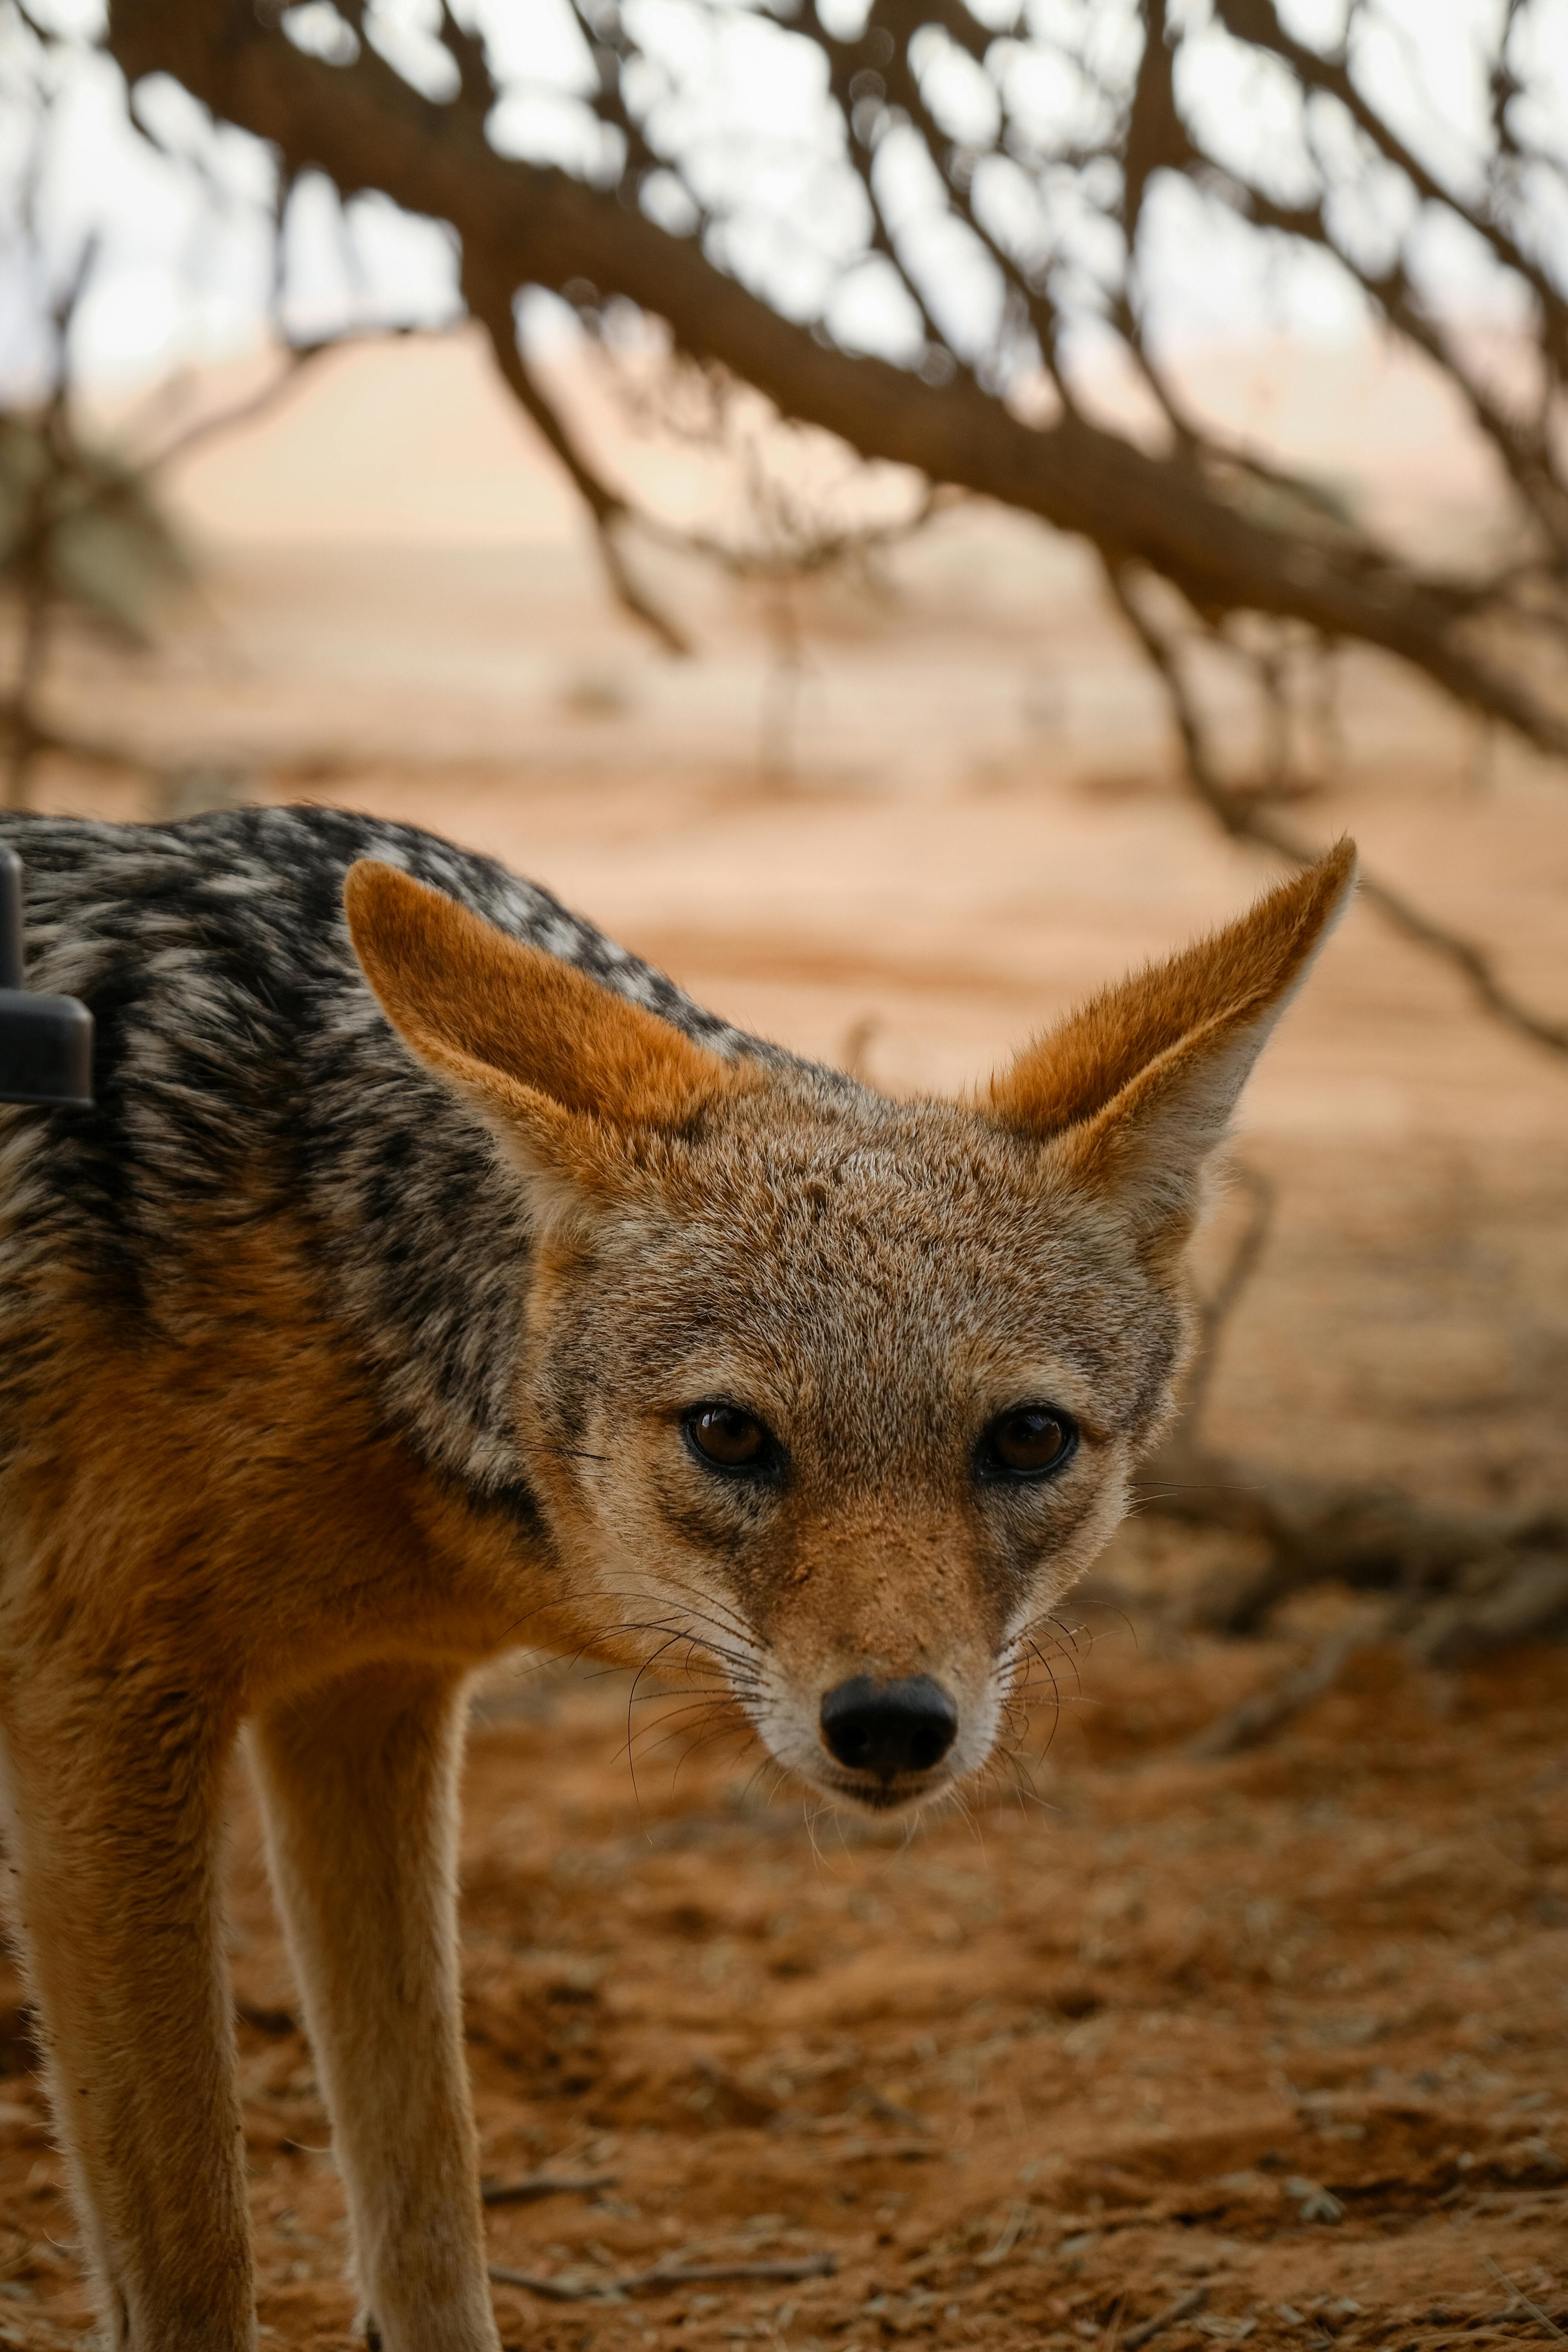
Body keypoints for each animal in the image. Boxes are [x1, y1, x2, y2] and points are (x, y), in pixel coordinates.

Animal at [0, 805, 1354, 2351]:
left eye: (1025, 1440)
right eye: (729, 1434)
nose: (892, 1725)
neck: (336, 1269)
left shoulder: (362, 1702)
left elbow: (429, 2210)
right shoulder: (101, 1725)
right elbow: (196, 2267)